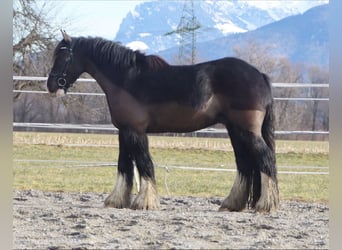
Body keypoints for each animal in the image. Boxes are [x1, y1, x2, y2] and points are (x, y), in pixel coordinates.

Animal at [46, 30, 280, 212]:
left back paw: (265, 205)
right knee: (245, 164)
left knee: (265, 159)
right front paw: (117, 200)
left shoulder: (136, 131)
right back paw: (232, 203)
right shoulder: (124, 131)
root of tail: (259, 75)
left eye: (63, 56)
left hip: (246, 131)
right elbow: (124, 165)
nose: (51, 85)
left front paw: (144, 202)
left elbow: (144, 164)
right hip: (235, 130)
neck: (127, 79)